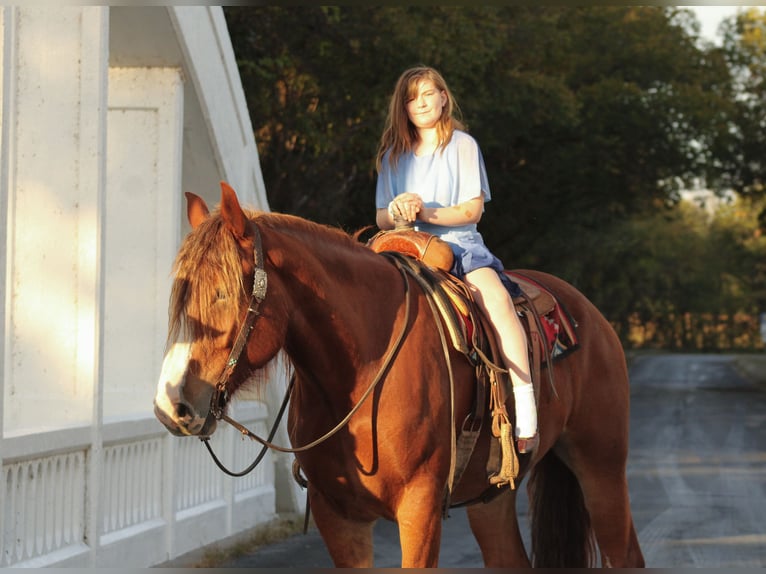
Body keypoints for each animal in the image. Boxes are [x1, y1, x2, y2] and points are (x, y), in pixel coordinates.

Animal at [153, 182, 645, 568]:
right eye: (181, 295)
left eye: (222, 293)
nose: (170, 405)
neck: (359, 374)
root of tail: (587, 314)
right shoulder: (339, 517)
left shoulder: (420, 509)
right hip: (493, 497)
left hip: (601, 469)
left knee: (626, 554)